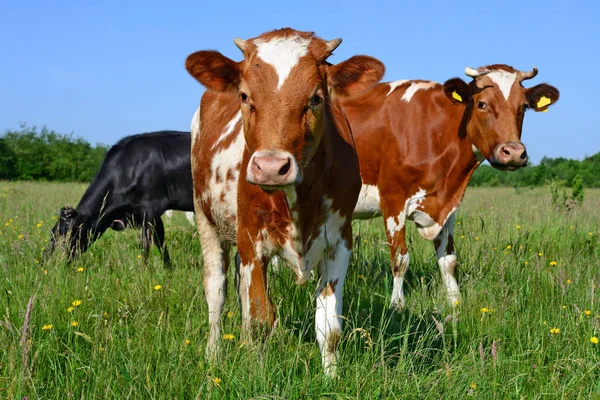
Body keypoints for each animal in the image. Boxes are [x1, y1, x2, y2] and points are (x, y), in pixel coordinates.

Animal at [45, 130, 195, 266]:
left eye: (68, 233)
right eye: (53, 233)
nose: (50, 262)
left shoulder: (151, 208)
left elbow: (145, 243)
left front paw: (145, 271)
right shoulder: (150, 215)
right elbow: (161, 240)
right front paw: (168, 269)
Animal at [185, 28, 386, 376]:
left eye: (316, 98)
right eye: (244, 96)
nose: (270, 167)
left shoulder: (339, 242)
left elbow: (329, 326)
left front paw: (331, 377)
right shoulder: (252, 240)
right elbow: (259, 321)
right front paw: (256, 376)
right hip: (206, 220)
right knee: (216, 293)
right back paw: (213, 353)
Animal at [340, 65, 560, 310]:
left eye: (523, 107)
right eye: (481, 103)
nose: (513, 152)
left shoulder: (449, 205)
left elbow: (449, 260)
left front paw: (455, 301)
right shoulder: (393, 201)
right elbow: (400, 259)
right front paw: (397, 306)